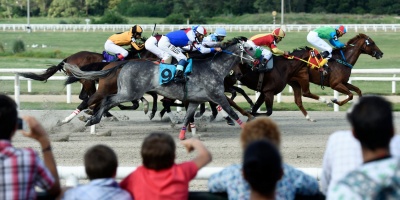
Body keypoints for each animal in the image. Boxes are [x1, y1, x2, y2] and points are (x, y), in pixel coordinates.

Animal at [63, 37, 256, 140]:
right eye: (250, 48)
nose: (257, 61)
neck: (212, 67)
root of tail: (124, 63)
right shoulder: (217, 95)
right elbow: (232, 111)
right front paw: (245, 124)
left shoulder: (195, 99)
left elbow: (188, 116)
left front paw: (185, 134)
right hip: (128, 92)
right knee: (105, 100)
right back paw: (86, 119)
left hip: (125, 91)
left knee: (100, 101)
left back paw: (91, 117)